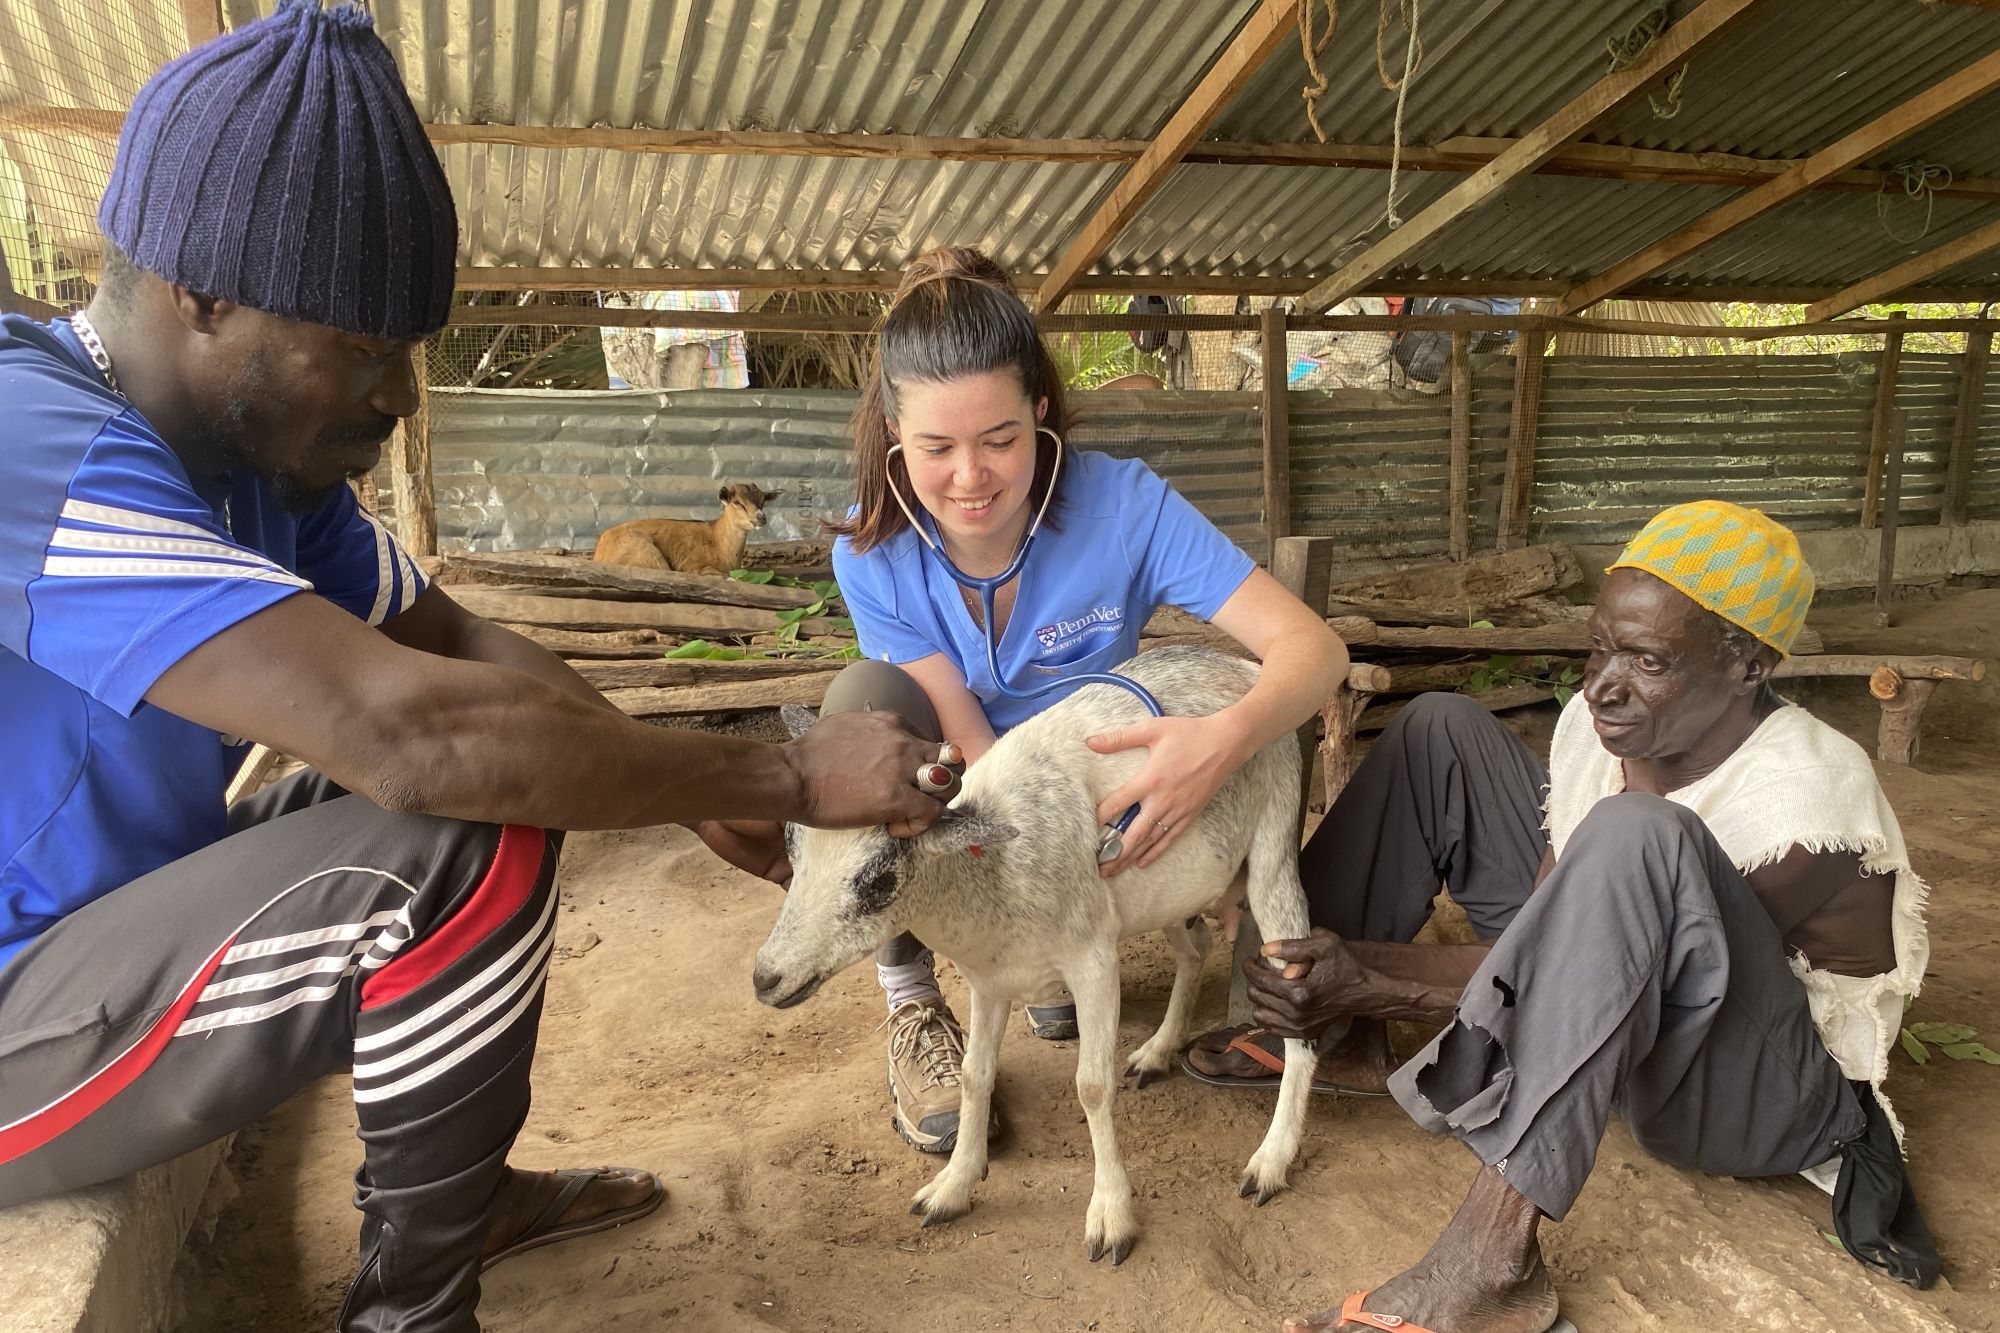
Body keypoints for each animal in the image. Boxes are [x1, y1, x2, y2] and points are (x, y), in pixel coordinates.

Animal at [584, 482, 780, 576]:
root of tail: (599, 552)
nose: (761, 518)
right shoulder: (694, 566)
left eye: (763, 500)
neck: (718, 541)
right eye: (737, 502)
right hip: (648, 554)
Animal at [748, 648, 1312, 1264]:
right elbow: (975, 1075)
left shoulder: (1093, 956)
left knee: (1297, 996)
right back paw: (1158, 1053)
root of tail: (1240, 663)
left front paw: (1110, 1218)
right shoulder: (987, 978)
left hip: (1274, 839)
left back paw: (1269, 1162)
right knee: (1198, 948)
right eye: (791, 842)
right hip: (1166, 884)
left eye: (879, 880)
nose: (766, 978)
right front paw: (951, 1188)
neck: (992, 875)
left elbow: (1092, 1085)